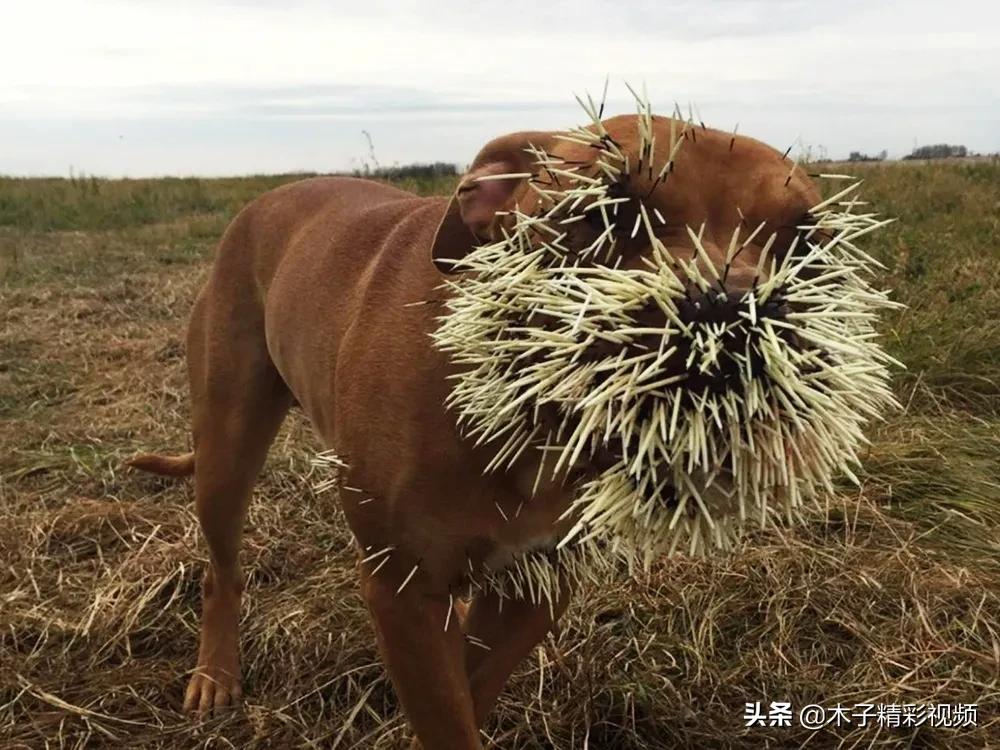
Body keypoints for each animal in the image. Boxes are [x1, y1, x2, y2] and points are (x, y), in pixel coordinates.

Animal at [131, 110, 820, 748]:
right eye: (604, 213)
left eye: (806, 245)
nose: (732, 312)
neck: (528, 416)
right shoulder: (403, 588)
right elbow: (446, 711)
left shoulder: (536, 587)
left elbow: (468, 687)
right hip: (227, 447)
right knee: (221, 569)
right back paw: (215, 675)